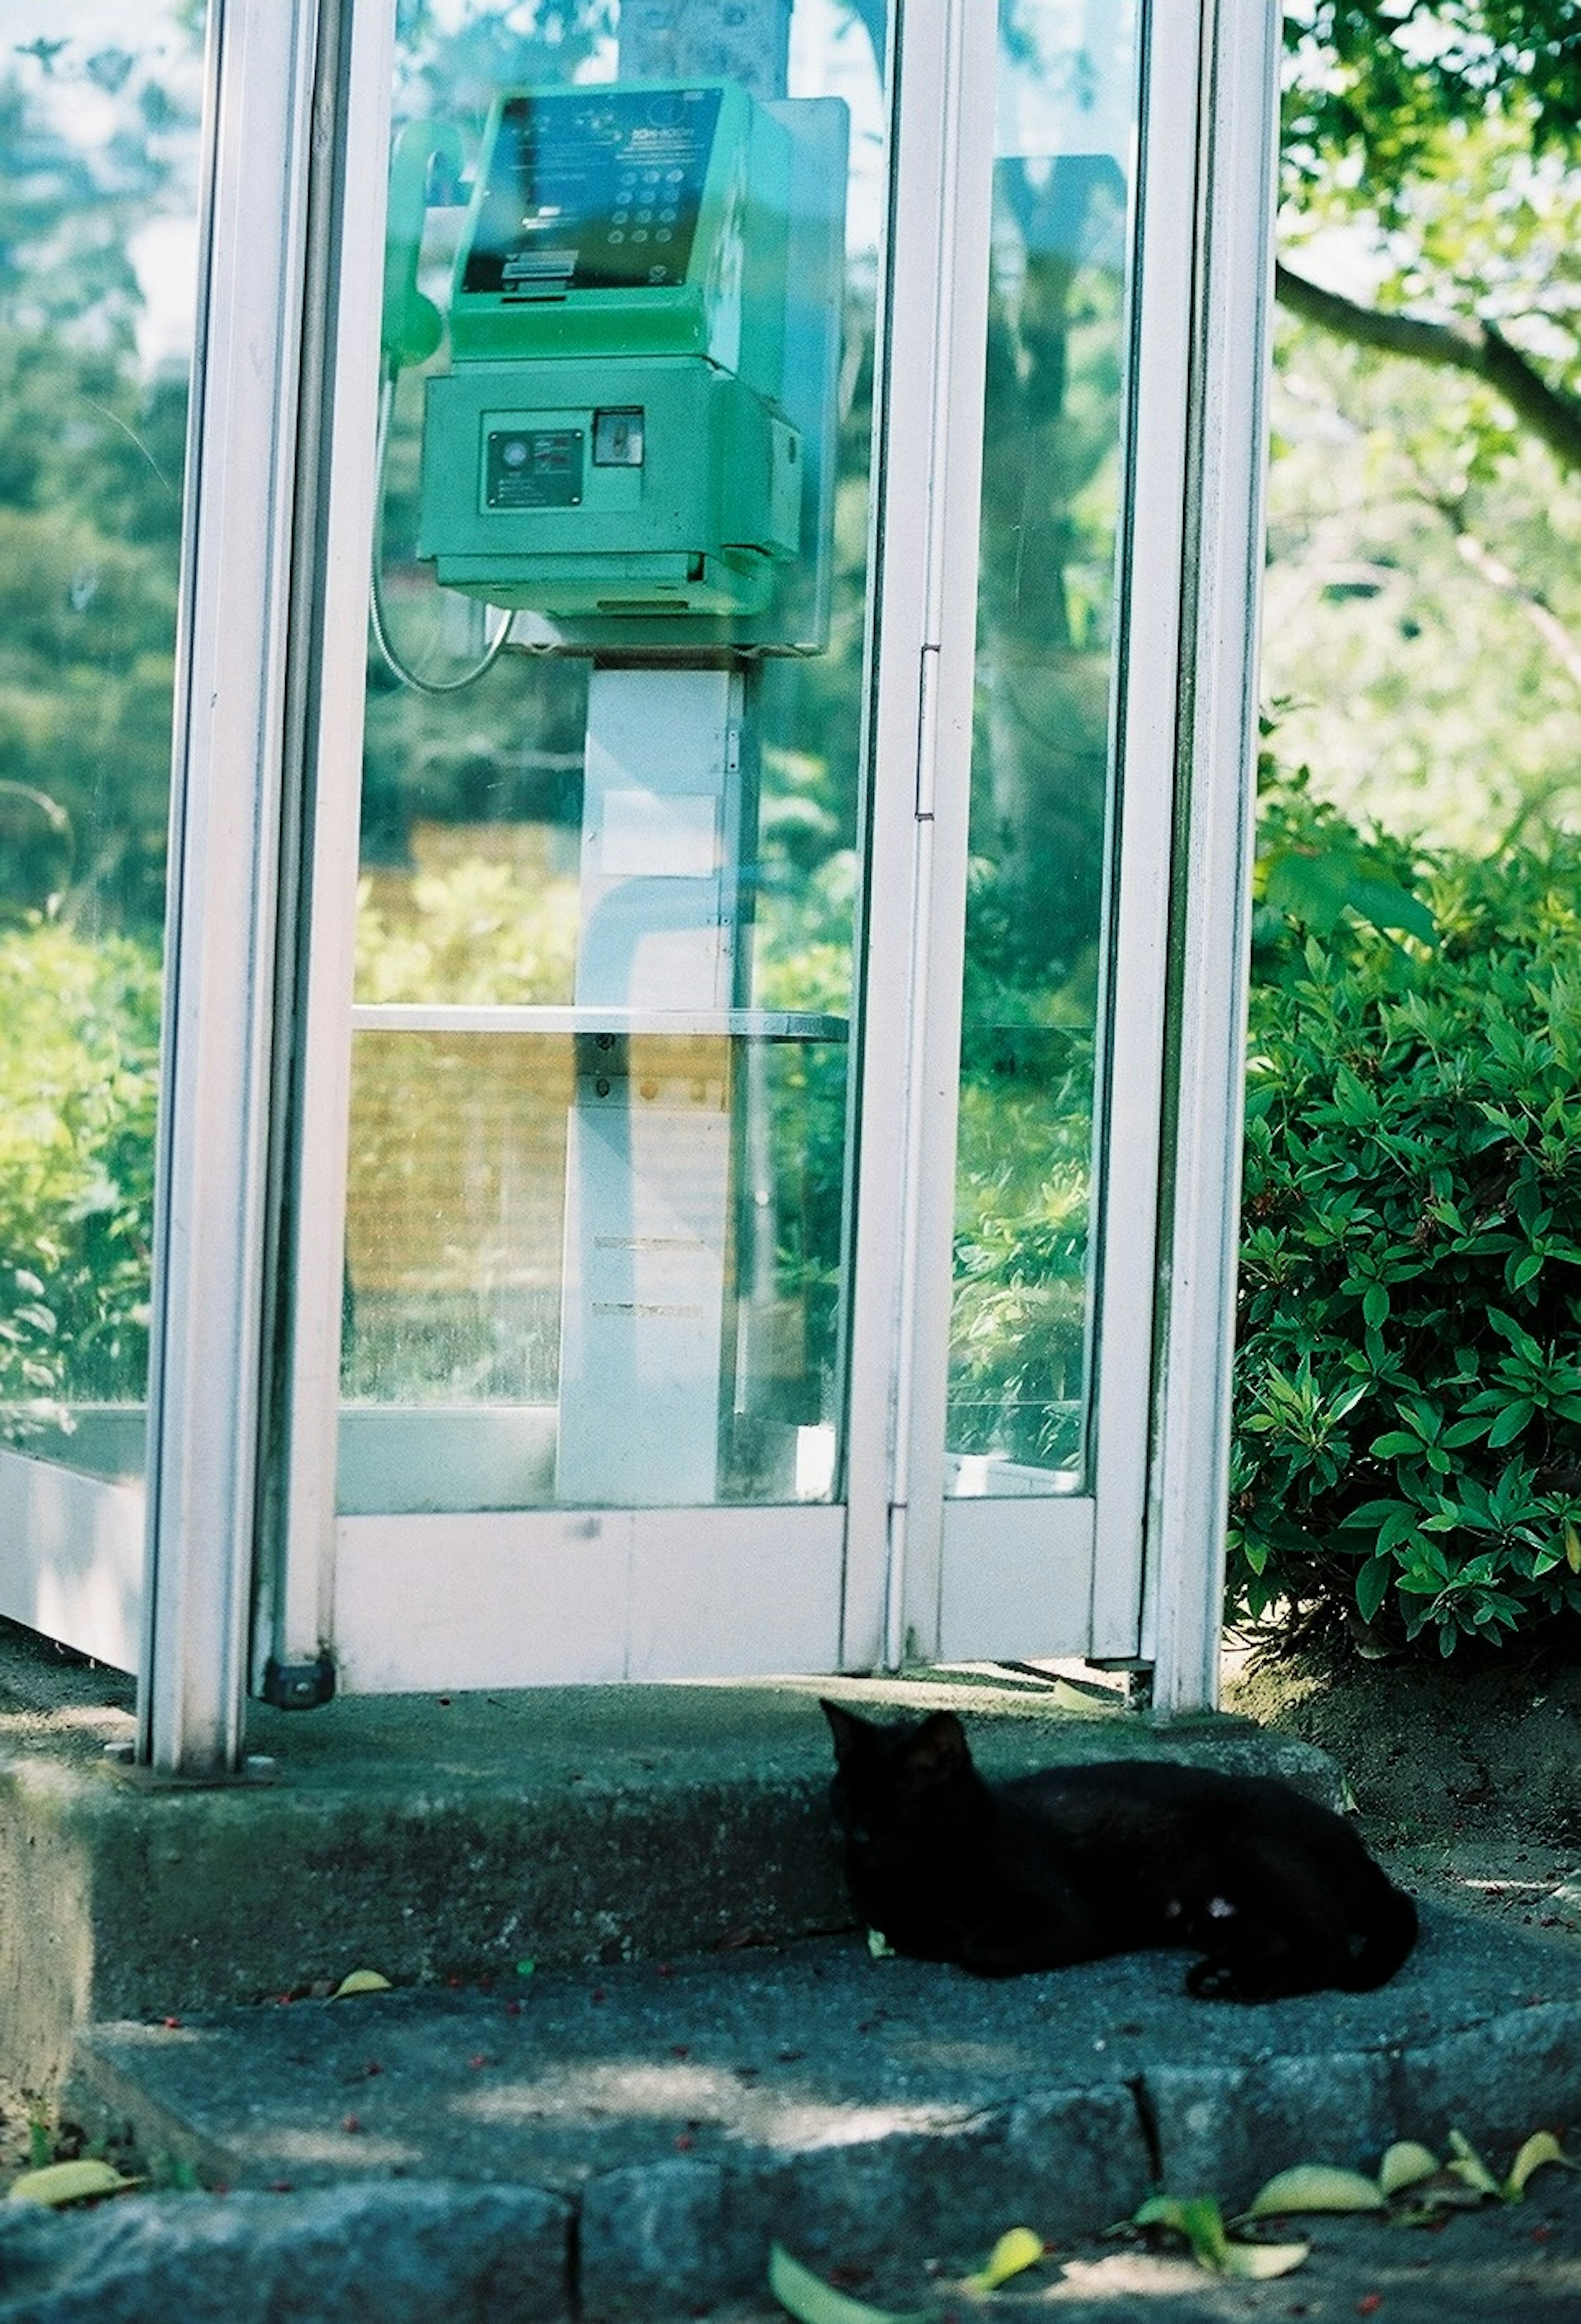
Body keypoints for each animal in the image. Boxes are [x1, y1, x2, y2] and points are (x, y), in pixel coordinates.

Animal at [823, 1701, 1413, 2008]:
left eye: (898, 1811)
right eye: (848, 1801)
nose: (859, 1841)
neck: (930, 1875)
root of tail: (1363, 1855)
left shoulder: (1069, 1916)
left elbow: (978, 1949)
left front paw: (958, 1933)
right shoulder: (886, 1910)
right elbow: (905, 1927)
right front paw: (935, 1927)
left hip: (1248, 1846)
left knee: (1330, 1945)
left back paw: (1247, 1985)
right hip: (1211, 1915)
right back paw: (1223, 1978)